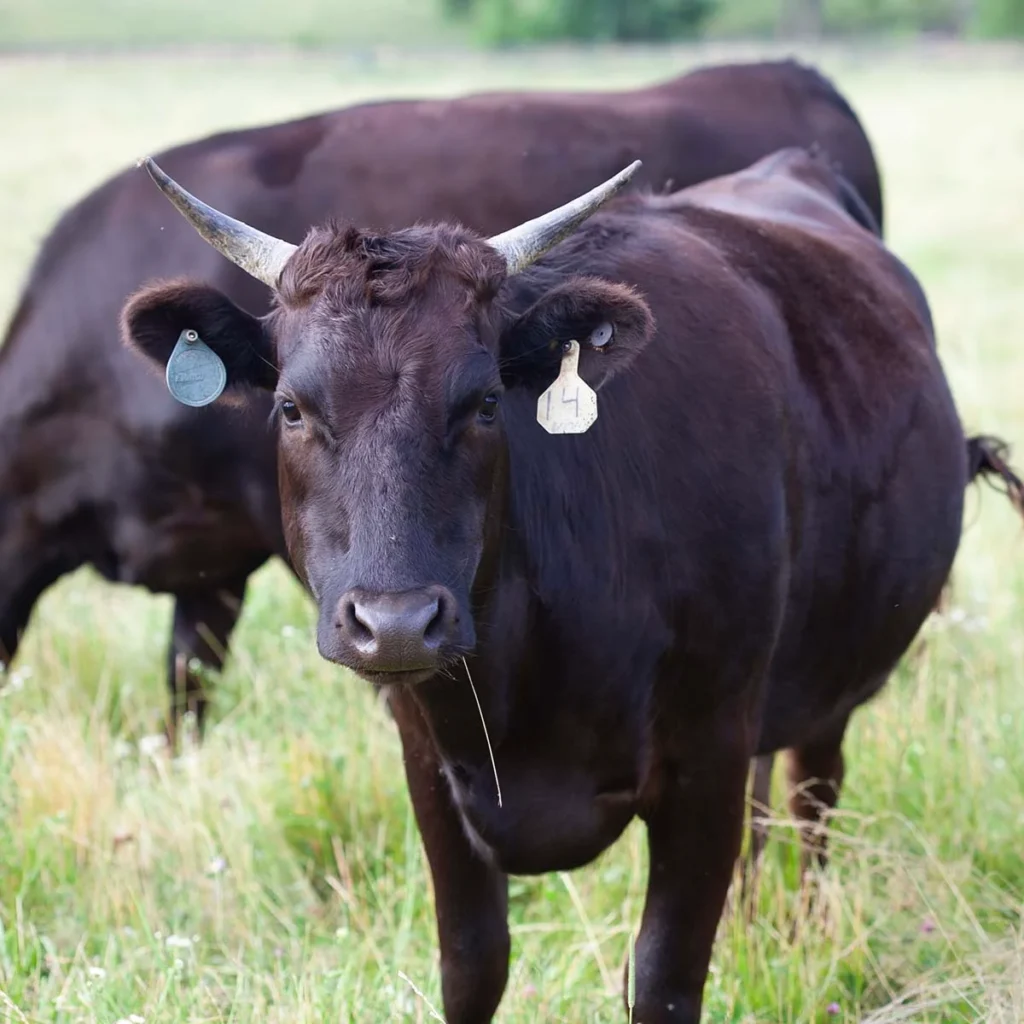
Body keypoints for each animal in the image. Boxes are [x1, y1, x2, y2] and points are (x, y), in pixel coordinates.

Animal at [120, 143, 1023, 1022]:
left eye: (486, 402)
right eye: (292, 407)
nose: (398, 621)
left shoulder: (707, 755)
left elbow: (662, 979)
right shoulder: (430, 767)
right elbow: (472, 968)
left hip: (828, 680)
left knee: (811, 797)